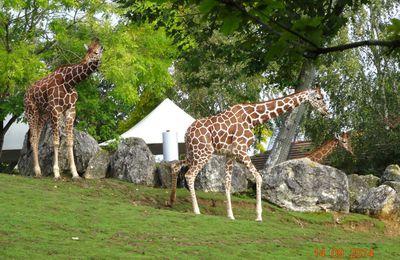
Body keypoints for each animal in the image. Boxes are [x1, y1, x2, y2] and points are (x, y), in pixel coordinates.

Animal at [23, 37, 103, 179]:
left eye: (97, 52)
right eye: (89, 51)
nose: (88, 62)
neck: (70, 82)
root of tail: (26, 93)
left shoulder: (71, 110)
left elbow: (70, 141)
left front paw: (75, 173)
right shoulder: (56, 109)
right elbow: (55, 142)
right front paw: (56, 173)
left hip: (43, 113)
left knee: (36, 138)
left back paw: (38, 171)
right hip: (31, 111)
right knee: (33, 138)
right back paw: (37, 171)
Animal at [170, 85, 330, 221]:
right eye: (318, 98)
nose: (326, 112)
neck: (253, 119)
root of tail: (187, 133)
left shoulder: (231, 154)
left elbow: (227, 182)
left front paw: (230, 215)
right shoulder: (241, 150)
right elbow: (258, 177)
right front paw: (258, 216)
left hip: (193, 153)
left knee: (175, 166)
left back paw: (171, 201)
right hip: (204, 152)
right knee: (189, 175)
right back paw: (196, 210)